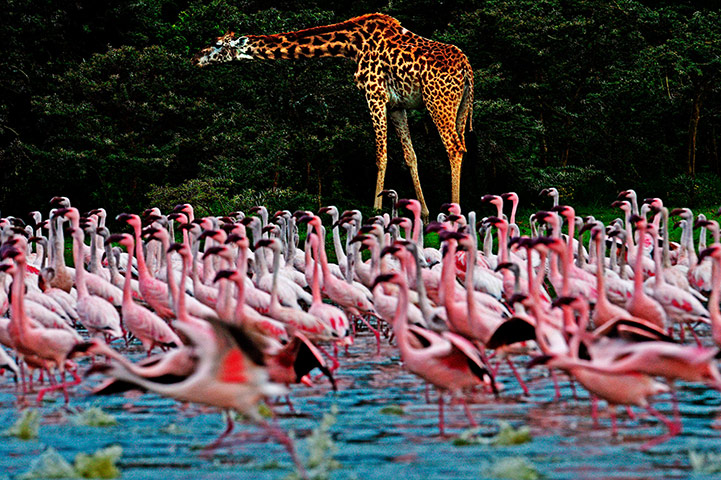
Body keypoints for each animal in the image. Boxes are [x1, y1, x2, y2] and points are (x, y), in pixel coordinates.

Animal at [193, 13, 474, 220]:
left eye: (217, 44)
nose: (196, 57)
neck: (351, 44)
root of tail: (467, 70)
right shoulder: (397, 105)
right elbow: (410, 156)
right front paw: (424, 214)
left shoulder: (374, 93)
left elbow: (381, 155)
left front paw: (375, 211)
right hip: (459, 106)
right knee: (461, 145)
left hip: (438, 100)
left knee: (454, 147)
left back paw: (455, 213)